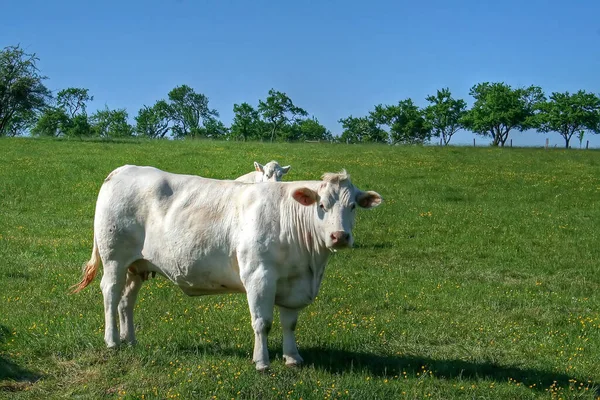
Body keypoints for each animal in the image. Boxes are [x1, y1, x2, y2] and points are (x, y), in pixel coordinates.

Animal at [72, 164, 382, 370]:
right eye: (321, 205)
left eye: (353, 206)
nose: (339, 236)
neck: (311, 264)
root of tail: (121, 170)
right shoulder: (259, 276)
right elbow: (262, 322)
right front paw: (262, 362)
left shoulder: (293, 282)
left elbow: (290, 323)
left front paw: (293, 358)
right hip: (114, 257)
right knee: (110, 294)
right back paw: (112, 341)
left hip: (137, 265)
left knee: (127, 300)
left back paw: (130, 340)